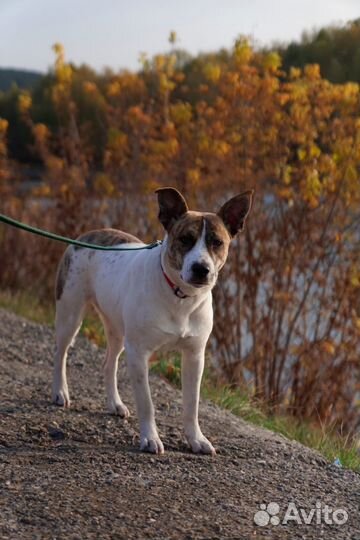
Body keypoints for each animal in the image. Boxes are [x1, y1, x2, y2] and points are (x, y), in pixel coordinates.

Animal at [52, 188, 253, 454]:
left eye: (217, 242)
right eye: (185, 239)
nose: (201, 268)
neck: (180, 297)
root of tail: (87, 234)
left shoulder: (194, 356)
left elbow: (192, 405)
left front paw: (196, 439)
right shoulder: (139, 353)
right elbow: (146, 403)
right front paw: (150, 438)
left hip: (117, 328)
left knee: (108, 363)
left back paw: (114, 403)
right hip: (70, 313)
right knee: (60, 352)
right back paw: (60, 392)